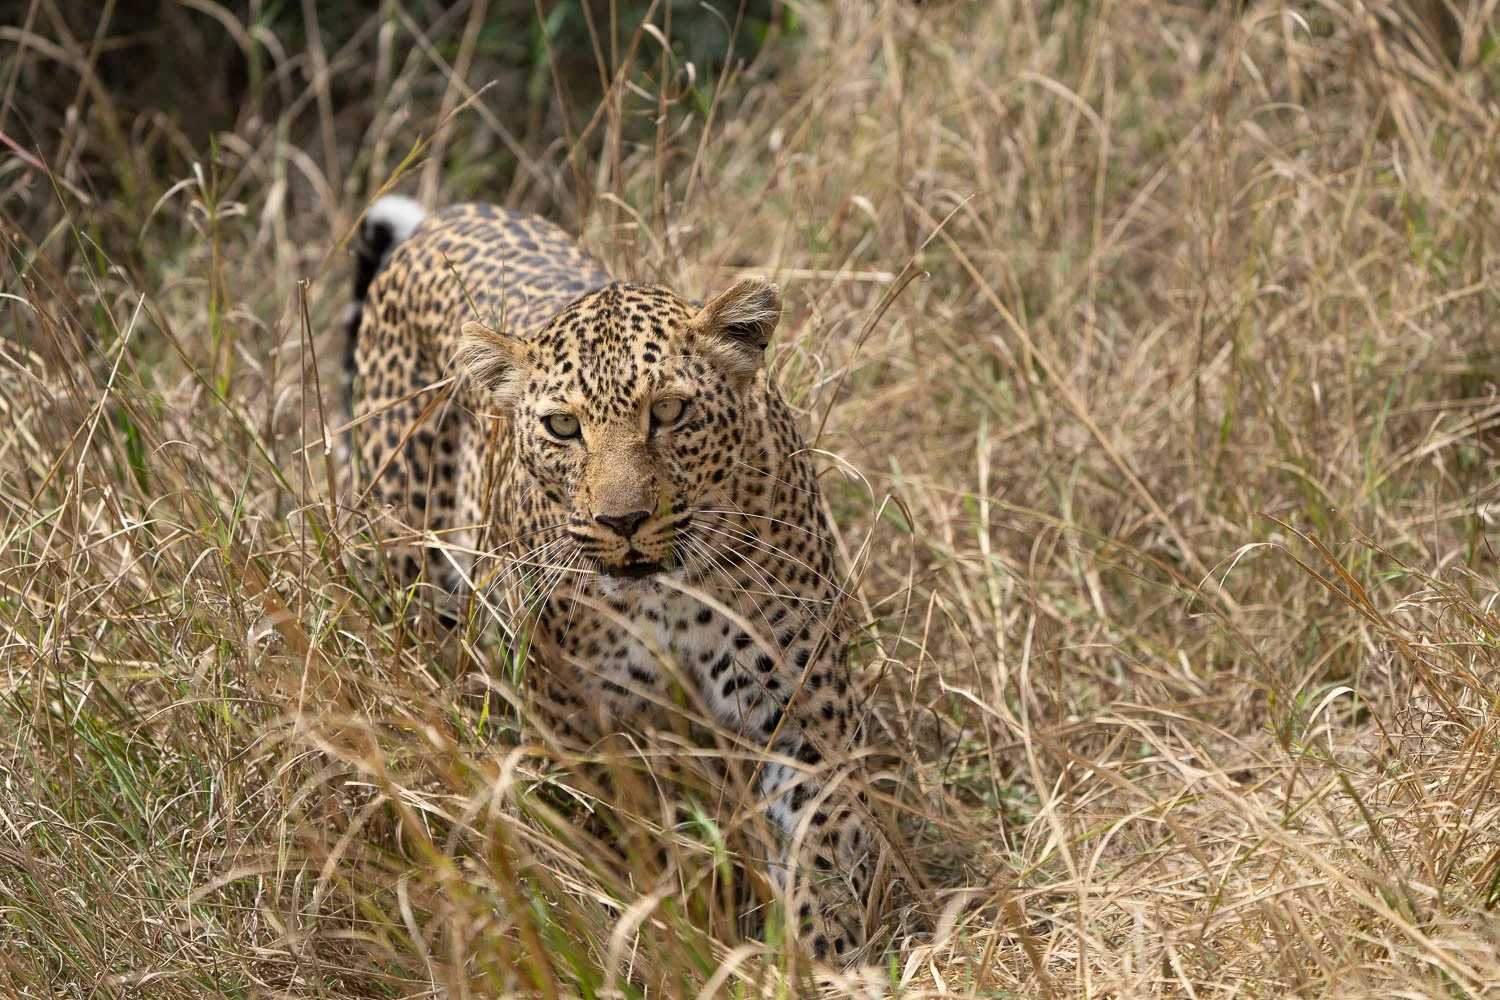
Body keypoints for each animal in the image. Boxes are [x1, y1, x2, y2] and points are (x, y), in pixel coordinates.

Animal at [340, 195, 890, 966]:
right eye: (563, 427)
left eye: (670, 412)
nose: (623, 520)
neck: (670, 596)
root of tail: (443, 218)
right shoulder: (574, 722)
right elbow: (620, 848)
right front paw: (658, 943)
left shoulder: (803, 713)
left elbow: (826, 851)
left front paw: (818, 962)